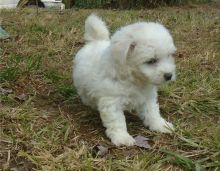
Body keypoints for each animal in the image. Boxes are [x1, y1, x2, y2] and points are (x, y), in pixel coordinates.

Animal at [73, 14, 176, 146]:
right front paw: (122, 137)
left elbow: (152, 112)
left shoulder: (147, 97)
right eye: (151, 61)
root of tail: (96, 41)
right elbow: (117, 121)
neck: (134, 78)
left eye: (169, 55)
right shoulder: (112, 101)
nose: (169, 75)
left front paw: (160, 125)